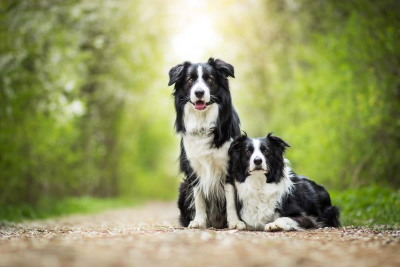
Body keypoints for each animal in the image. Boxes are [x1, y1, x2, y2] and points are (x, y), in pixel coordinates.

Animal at [166, 57, 242, 229]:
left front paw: (235, 222)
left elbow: (230, 199)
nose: (199, 92)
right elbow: (199, 197)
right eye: (190, 80)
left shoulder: (229, 167)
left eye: (210, 79)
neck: (203, 122)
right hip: (184, 187)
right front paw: (199, 221)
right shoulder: (193, 168)